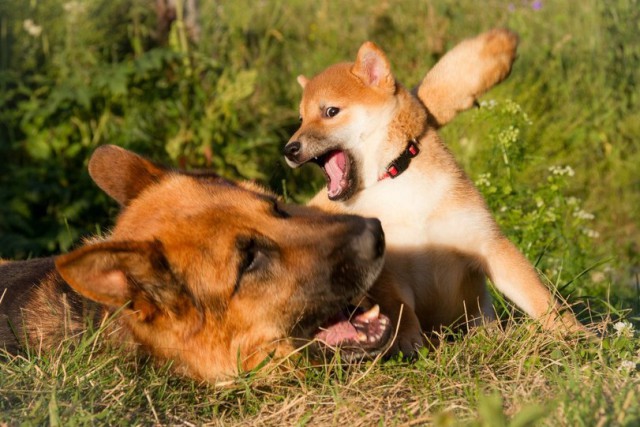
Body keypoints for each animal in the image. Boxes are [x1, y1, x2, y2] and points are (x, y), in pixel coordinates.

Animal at [282, 27, 584, 354]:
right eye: (301, 119)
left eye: (331, 111)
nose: (289, 149)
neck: (396, 182)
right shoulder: (389, 277)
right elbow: (402, 311)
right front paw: (408, 344)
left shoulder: (488, 244)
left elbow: (539, 298)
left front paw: (575, 334)